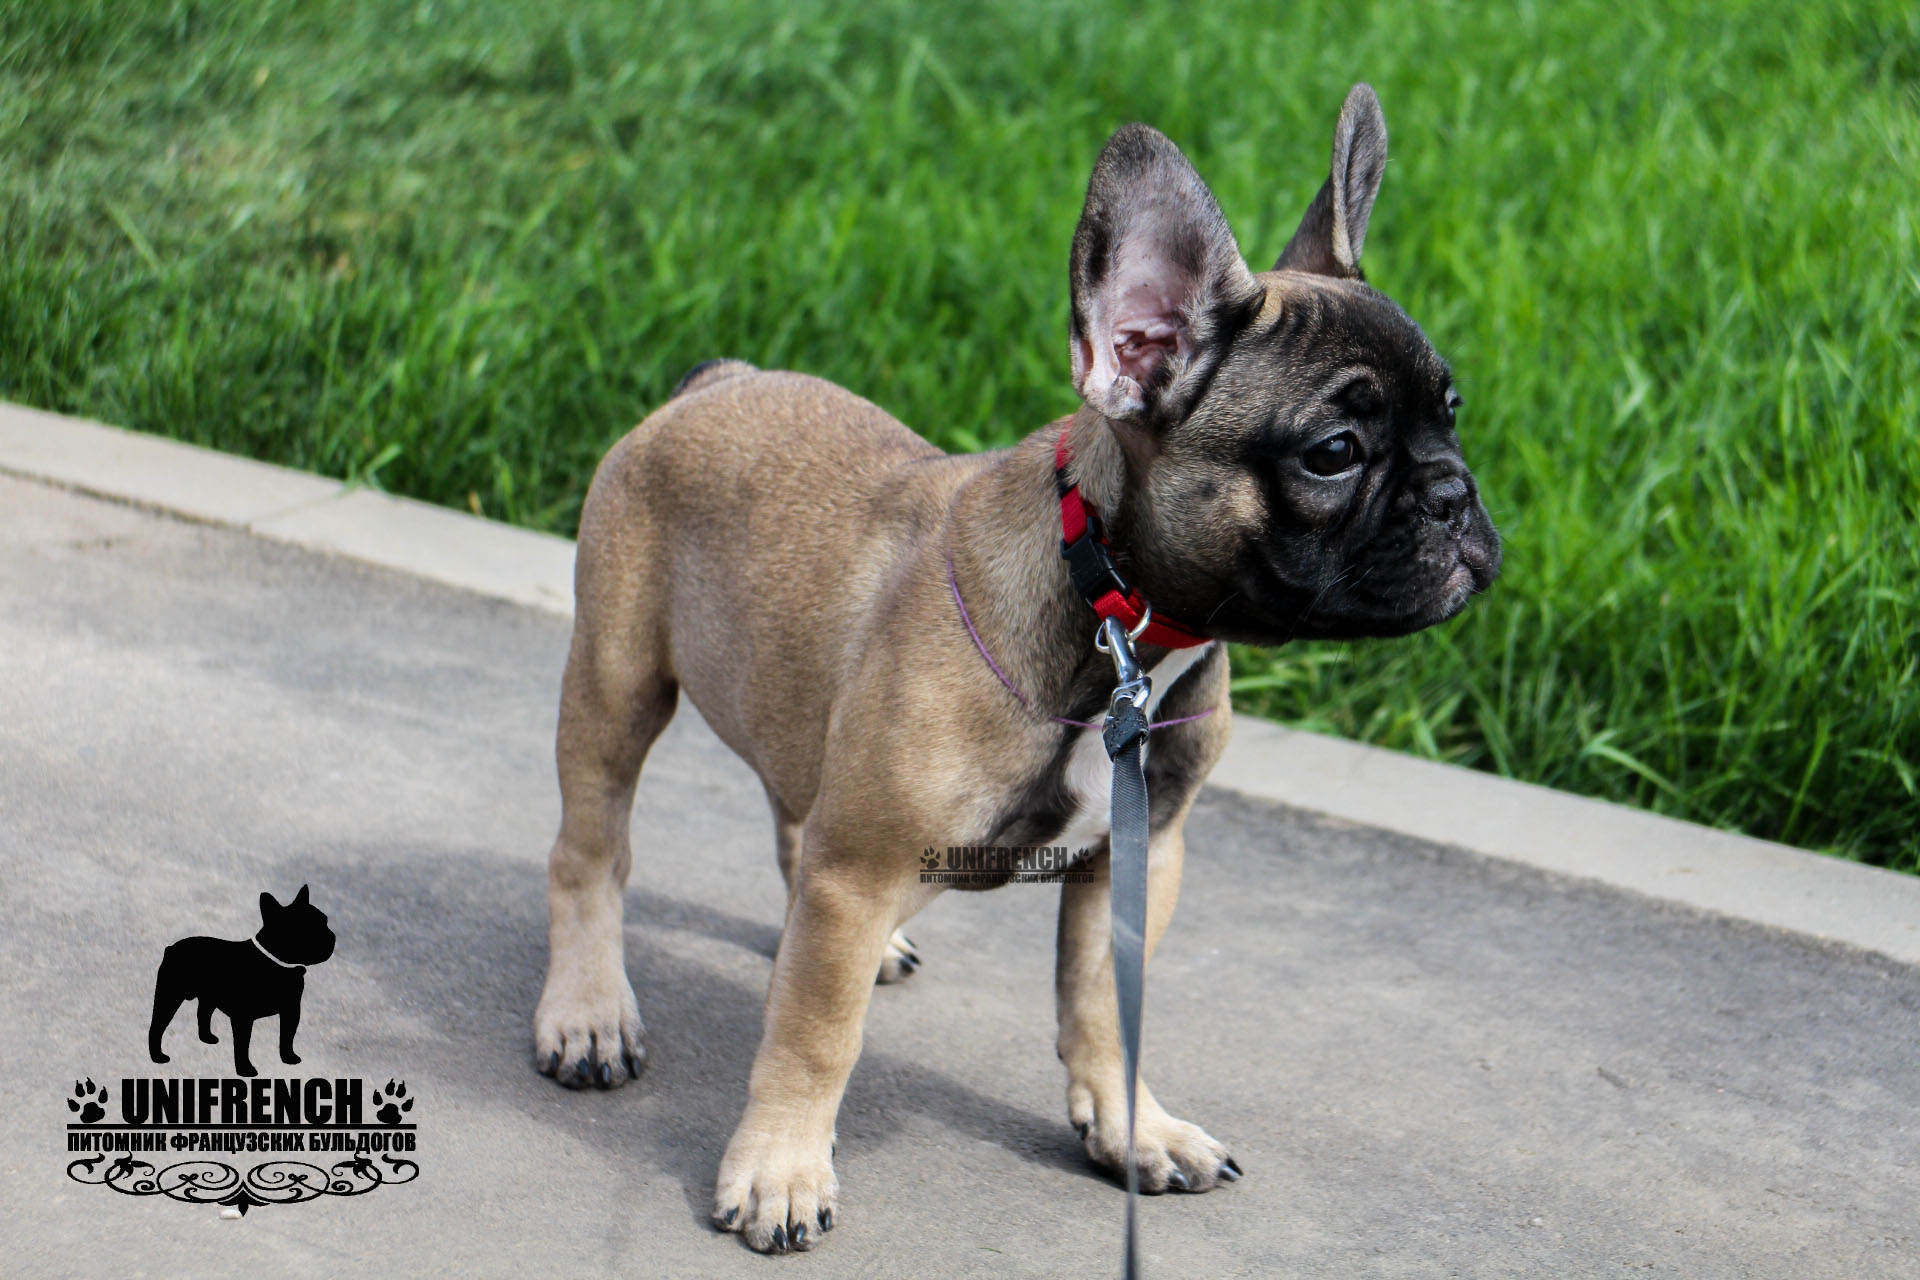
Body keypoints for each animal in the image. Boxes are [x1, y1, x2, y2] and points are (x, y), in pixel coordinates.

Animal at [147, 882, 336, 1082]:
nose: (332, 937)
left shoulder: (291, 1010)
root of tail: (171, 948)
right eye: (303, 930)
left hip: (208, 996)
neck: (278, 965)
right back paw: (157, 1056)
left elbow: (287, 1036)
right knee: (157, 1025)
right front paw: (245, 1069)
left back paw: (207, 1038)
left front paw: (288, 1057)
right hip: (169, 996)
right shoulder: (243, 1018)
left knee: (203, 1013)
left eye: (325, 921)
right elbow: (242, 1044)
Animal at [529, 82, 1497, 1251]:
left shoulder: (1132, 855)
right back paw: (588, 1012)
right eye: (1333, 454)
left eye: (1453, 412)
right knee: (594, 849)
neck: (1119, 621)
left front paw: (1133, 1130)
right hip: (618, 678)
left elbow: (1104, 1009)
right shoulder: (861, 870)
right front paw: (781, 1173)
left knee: (797, 812)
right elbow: (814, 1036)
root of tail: (716, 382)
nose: (1454, 496)